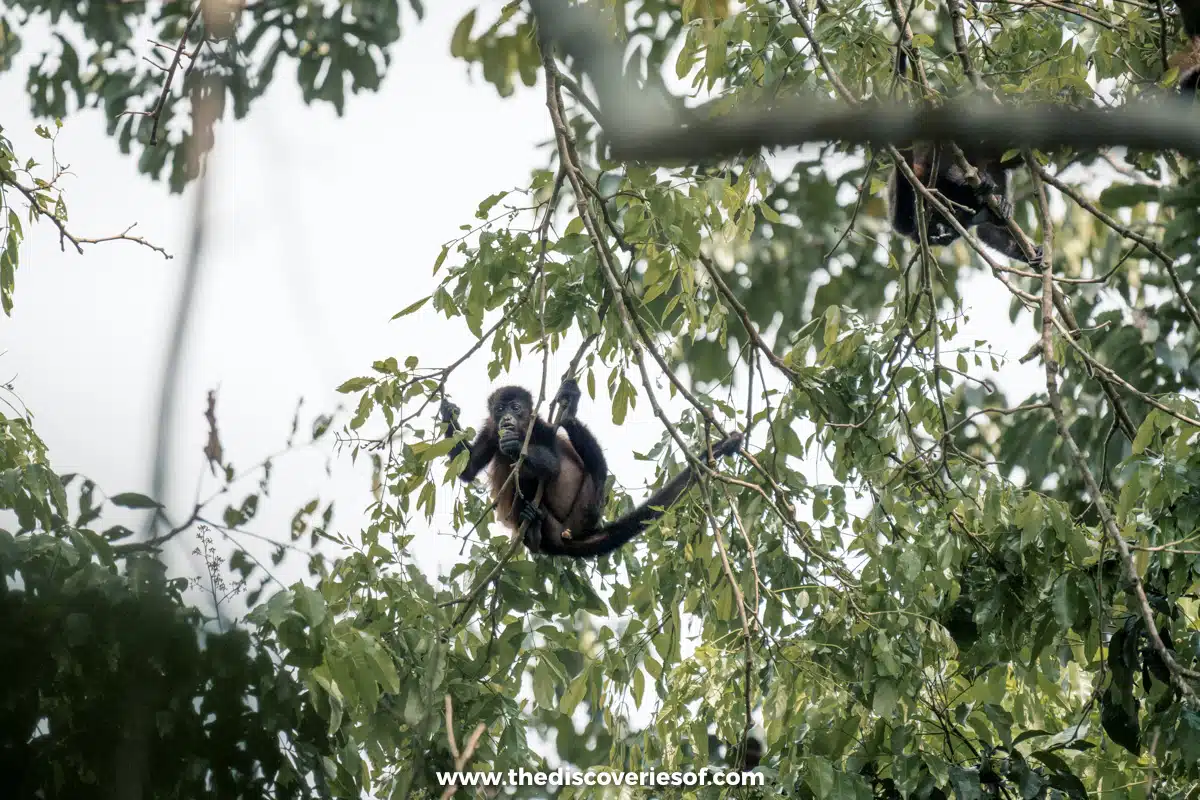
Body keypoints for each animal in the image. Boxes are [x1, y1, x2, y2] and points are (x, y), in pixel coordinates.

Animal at [438, 378, 742, 558]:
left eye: (515, 407)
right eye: (500, 409)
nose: (508, 420)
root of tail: (569, 535)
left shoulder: (540, 427)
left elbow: (552, 465)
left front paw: (515, 446)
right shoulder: (491, 432)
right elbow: (467, 470)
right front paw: (448, 414)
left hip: (586, 505)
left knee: (591, 466)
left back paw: (568, 414)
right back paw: (533, 530)